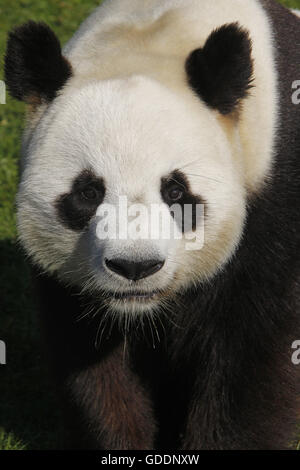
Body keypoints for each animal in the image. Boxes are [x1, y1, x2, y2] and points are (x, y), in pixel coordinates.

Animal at [3, 0, 300, 450]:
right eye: (88, 192)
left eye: (175, 191)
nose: (135, 267)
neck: (153, 33)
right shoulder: (67, 277)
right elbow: (93, 362)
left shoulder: (274, 198)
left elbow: (253, 356)